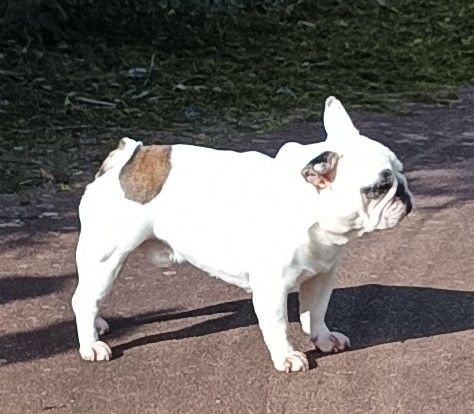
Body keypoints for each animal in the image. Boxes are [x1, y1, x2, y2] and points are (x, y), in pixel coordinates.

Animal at [72, 97, 413, 372]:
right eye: (380, 187)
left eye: (401, 172)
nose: (406, 194)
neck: (310, 210)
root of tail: (125, 158)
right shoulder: (271, 287)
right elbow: (278, 326)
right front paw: (287, 357)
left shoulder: (321, 277)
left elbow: (316, 312)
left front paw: (324, 339)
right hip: (107, 258)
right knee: (83, 299)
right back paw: (90, 345)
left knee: (91, 297)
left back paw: (97, 326)